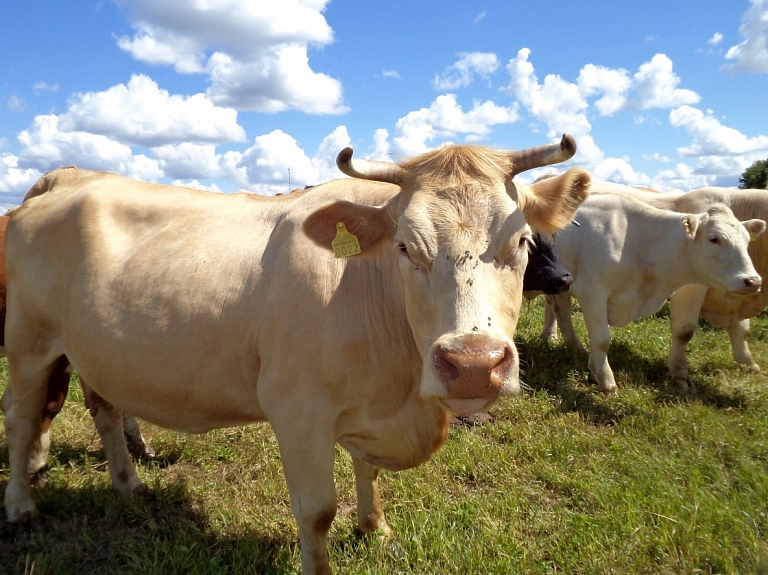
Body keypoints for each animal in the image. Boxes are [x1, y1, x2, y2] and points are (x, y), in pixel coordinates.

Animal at [3, 136, 588, 575]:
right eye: (405, 247)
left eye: (522, 242)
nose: (472, 365)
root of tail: (59, 185)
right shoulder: (298, 409)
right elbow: (317, 513)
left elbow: (369, 472)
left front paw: (375, 527)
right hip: (30, 342)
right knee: (21, 416)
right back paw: (20, 506)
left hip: (92, 350)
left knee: (104, 409)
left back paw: (127, 484)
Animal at [540, 191, 760, 394]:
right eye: (714, 239)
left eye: (748, 240)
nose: (753, 281)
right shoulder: (592, 292)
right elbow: (601, 339)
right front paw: (606, 382)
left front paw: (594, 370)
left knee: (560, 310)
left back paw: (574, 348)